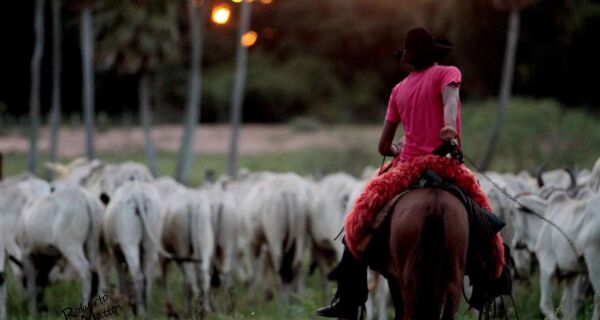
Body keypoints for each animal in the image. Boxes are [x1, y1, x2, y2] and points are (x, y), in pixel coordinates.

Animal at [510, 190, 600, 320]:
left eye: (512, 213)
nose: (514, 244)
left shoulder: (547, 268)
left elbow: (545, 305)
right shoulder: (571, 273)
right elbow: (567, 306)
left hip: (593, 260)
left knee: (598, 297)